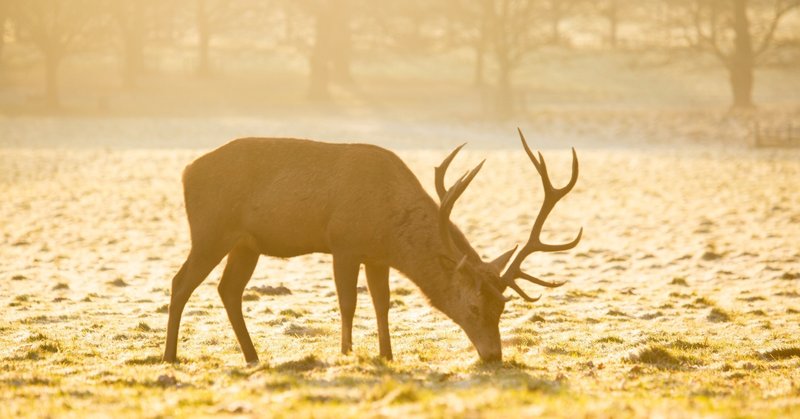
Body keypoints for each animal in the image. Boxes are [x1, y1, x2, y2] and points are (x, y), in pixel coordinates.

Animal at [161, 130, 580, 366]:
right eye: (475, 306)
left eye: (502, 307)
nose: (494, 356)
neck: (388, 226)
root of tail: (185, 172)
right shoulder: (343, 242)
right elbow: (348, 301)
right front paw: (346, 353)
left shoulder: (378, 258)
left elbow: (383, 303)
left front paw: (387, 354)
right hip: (210, 231)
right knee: (181, 282)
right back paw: (170, 356)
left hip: (247, 244)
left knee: (228, 289)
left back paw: (252, 356)